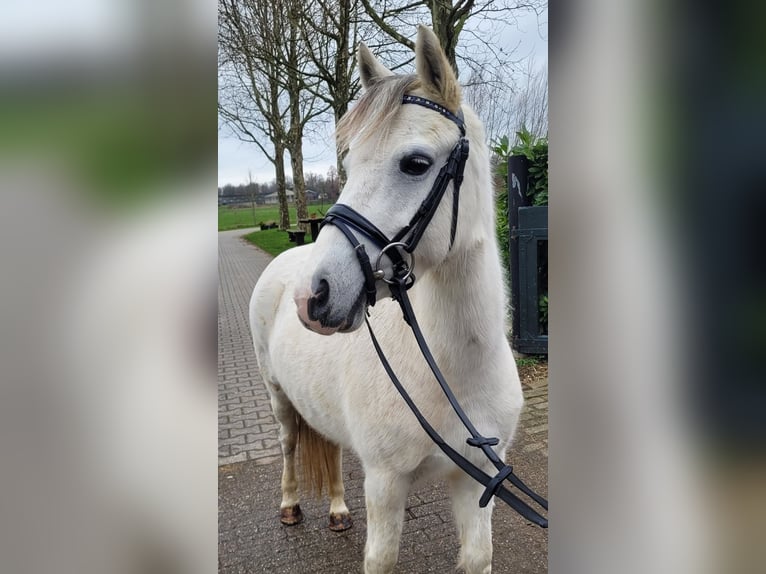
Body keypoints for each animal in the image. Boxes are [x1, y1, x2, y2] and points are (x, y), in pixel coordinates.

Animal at [249, 25, 524, 574]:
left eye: (415, 163)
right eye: (349, 162)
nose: (313, 296)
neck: (452, 371)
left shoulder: (475, 485)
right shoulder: (385, 485)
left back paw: (337, 510)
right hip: (279, 398)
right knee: (290, 446)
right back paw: (290, 506)